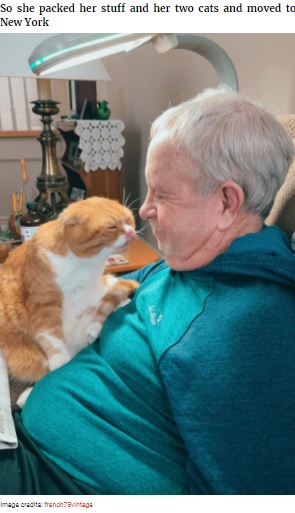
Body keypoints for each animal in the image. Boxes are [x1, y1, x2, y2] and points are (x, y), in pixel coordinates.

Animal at [0, 196, 139, 404]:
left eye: (130, 220)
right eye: (112, 227)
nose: (131, 233)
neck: (83, 265)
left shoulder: (96, 289)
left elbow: (107, 302)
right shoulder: (43, 305)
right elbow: (51, 337)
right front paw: (60, 363)